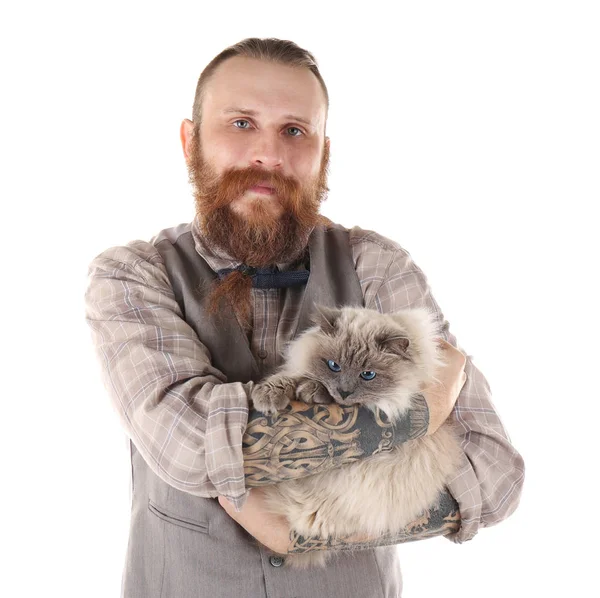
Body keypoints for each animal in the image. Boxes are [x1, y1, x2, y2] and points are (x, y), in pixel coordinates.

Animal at [250, 310, 464, 572]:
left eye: (368, 375)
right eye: (334, 366)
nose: (344, 392)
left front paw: (311, 391)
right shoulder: (298, 368)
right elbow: (288, 377)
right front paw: (271, 394)